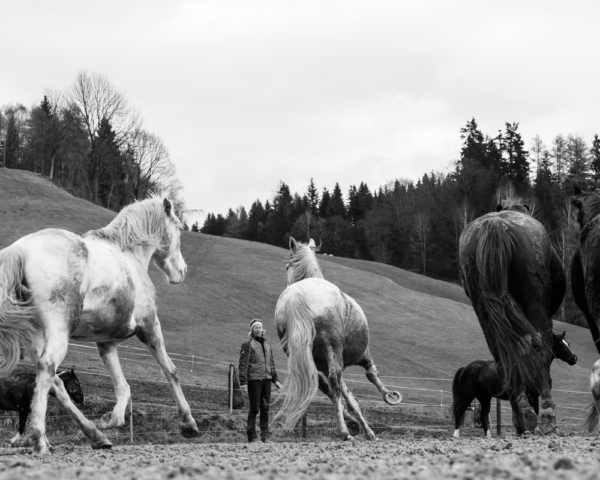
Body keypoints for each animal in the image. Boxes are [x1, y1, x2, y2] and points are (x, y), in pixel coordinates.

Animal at [0, 195, 199, 454]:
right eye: (179, 227)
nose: (181, 271)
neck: (128, 254)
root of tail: (20, 249)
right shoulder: (149, 327)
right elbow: (171, 371)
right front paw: (189, 424)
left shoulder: (106, 343)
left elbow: (123, 386)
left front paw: (110, 420)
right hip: (58, 332)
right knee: (47, 370)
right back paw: (41, 441)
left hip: (35, 336)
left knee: (55, 381)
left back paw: (96, 436)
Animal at [274, 238, 400, 440]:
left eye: (287, 266)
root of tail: (296, 296)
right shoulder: (362, 354)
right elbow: (371, 374)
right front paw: (387, 398)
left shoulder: (323, 363)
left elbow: (347, 396)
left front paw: (359, 424)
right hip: (332, 346)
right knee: (334, 381)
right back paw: (344, 431)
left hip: (299, 354)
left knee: (324, 385)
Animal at [452, 332, 580, 436]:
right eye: (560, 344)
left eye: (568, 343)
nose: (574, 358)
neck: (531, 367)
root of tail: (465, 368)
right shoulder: (530, 396)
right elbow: (531, 414)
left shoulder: (534, 396)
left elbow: (535, 413)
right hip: (467, 396)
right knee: (459, 412)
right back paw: (456, 435)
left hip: (484, 398)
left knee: (483, 416)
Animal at [460, 201, 568, 434]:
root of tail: (495, 224)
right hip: (535, 303)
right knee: (539, 348)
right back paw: (546, 415)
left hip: (484, 311)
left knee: (505, 359)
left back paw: (521, 417)